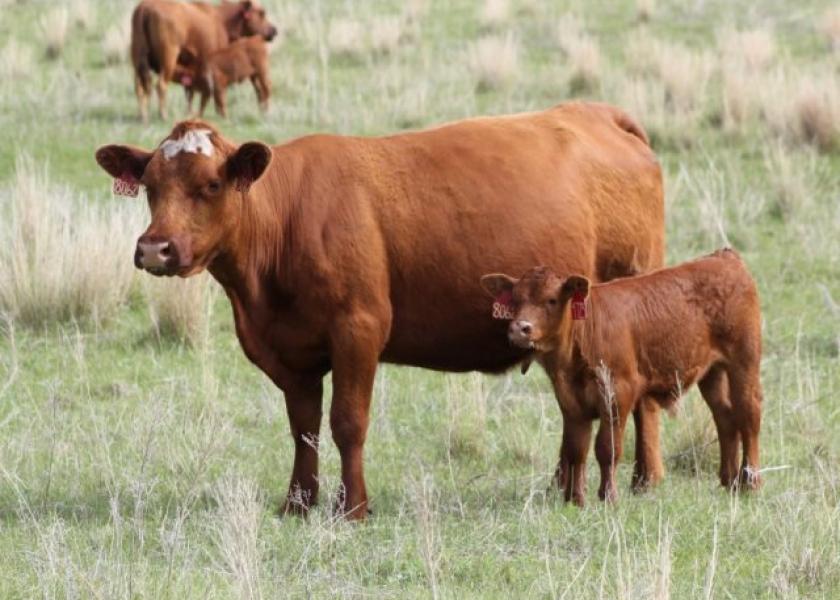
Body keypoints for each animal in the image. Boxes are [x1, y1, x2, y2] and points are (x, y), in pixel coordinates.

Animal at [130, 0, 278, 122]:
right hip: (169, 59)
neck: (222, 19)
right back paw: (163, 115)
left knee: (139, 88)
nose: (274, 30)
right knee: (161, 85)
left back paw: (142, 116)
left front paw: (190, 113)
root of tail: (145, 6)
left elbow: (189, 92)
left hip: (137, 63)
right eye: (261, 13)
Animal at [480, 248, 760, 506]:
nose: (520, 328)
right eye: (516, 300)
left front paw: (608, 497)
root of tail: (724, 256)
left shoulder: (619, 394)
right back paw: (730, 481)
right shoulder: (571, 402)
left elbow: (607, 448)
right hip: (712, 372)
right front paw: (575, 500)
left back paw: (751, 482)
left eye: (551, 300)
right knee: (725, 416)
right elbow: (576, 449)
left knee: (748, 415)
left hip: (744, 361)